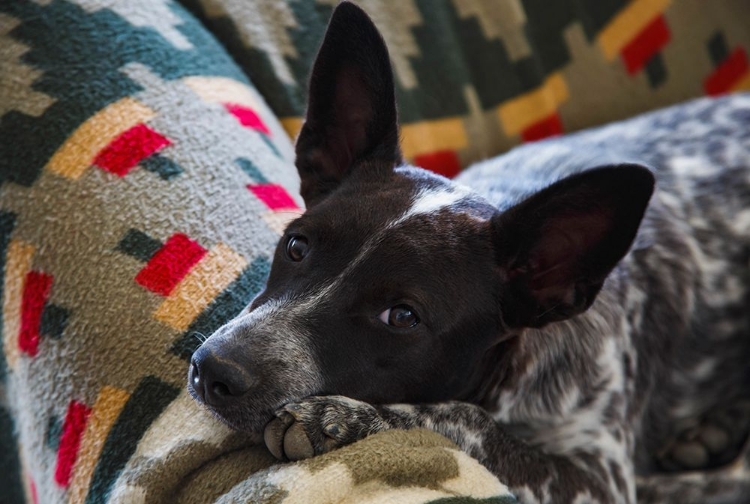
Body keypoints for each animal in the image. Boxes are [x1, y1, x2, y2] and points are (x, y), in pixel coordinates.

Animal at [188, 1, 750, 502]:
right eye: (297, 246)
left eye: (402, 317)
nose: (214, 368)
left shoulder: (597, 480)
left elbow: (462, 417)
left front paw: (344, 417)